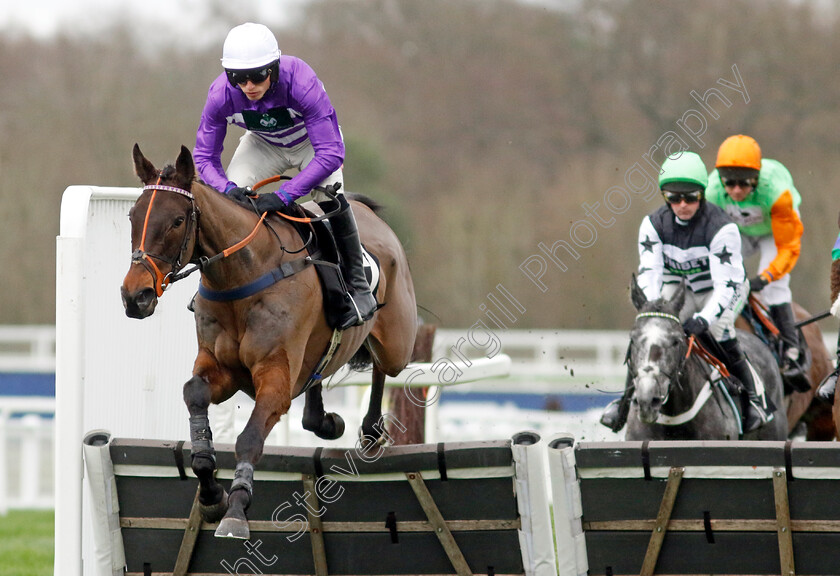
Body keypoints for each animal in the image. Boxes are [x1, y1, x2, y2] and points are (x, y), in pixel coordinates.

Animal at [120, 145, 416, 540]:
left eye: (178, 220)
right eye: (133, 216)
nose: (134, 296)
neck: (241, 276)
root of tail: (368, 211)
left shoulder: (274, 377)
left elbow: (249, 437)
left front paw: (235, 508)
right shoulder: (222, 368)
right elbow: (194, 393)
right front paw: (211, 492)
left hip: (397, 342)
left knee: (383, 366)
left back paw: (370, 430)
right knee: (320, 375)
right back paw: (325, 420)